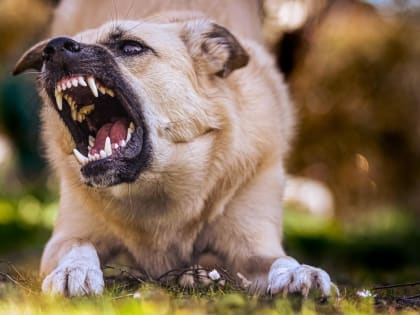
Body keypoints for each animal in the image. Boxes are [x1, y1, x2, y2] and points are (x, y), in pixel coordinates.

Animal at [13, 0, 334, 298]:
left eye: (131, 47)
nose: (53, 48)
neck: (158, 189)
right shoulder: (67, 236)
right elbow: (79, 246)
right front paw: (73, 270)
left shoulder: (254, 245)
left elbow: (280, 259)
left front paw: (298, 273)